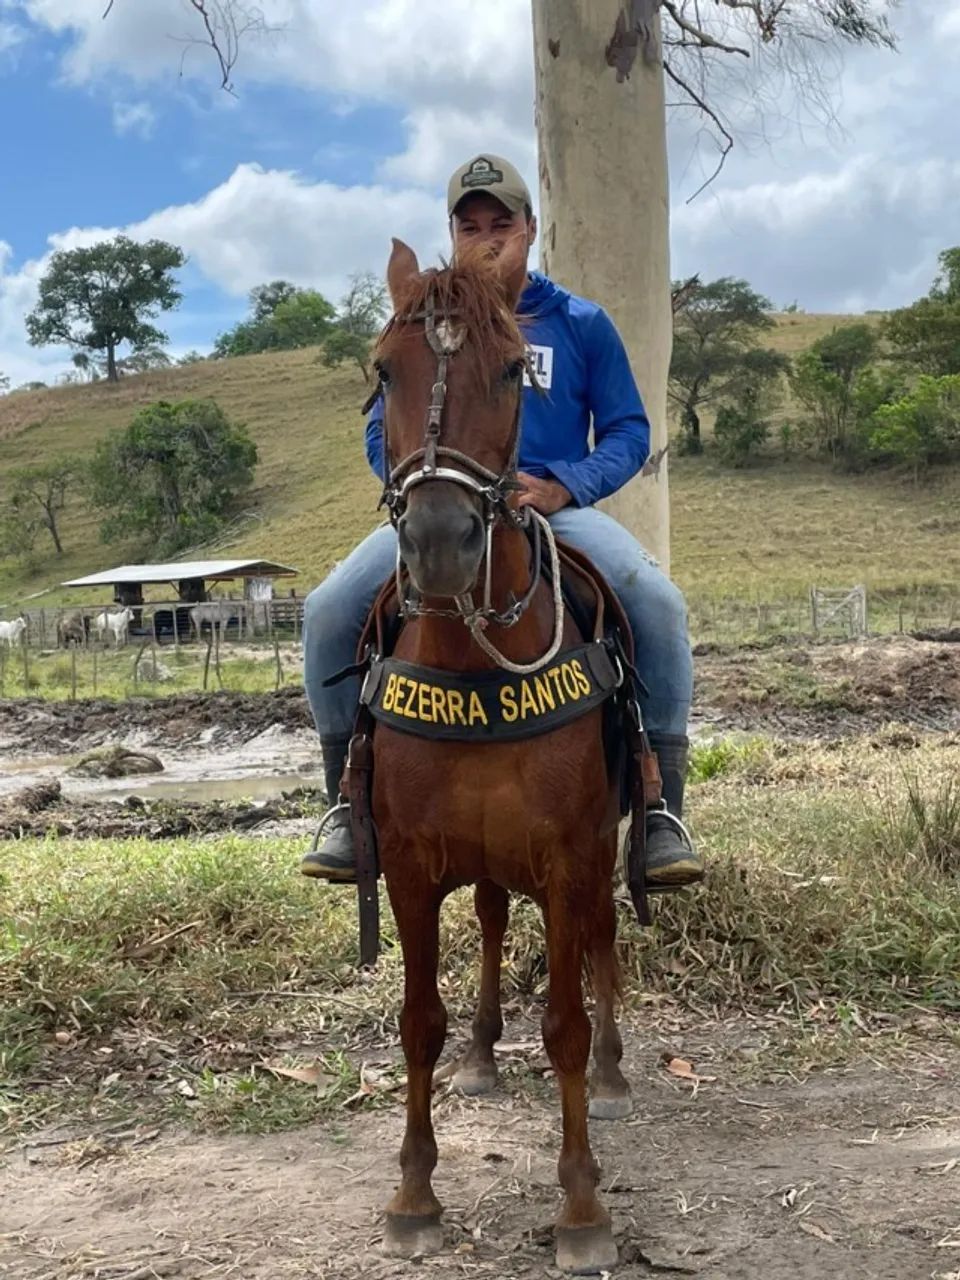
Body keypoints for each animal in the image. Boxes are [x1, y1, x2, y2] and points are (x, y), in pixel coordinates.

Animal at [356, 238, 633, 1275]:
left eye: (517, 369)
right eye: (381, 371)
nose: (440, 543)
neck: (475, 662)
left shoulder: (568, 855)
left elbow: (565, 1023)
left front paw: (582, 1204)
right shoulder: (406, 865)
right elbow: (418, 1023)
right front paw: (414, 1192)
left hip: (602, 847)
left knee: (603, 941)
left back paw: (615, 1077)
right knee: (485, 921)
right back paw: (481, 1056)